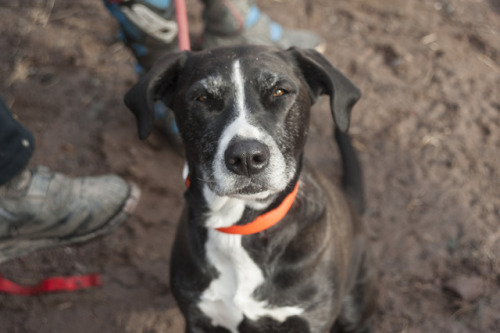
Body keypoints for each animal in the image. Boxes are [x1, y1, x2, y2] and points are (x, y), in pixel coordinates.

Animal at [124, 44, 376, 332]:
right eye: (202, 98)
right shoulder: (198, 317)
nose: (246, 157)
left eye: (280, 92)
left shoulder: (310, 319)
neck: (240, 226)